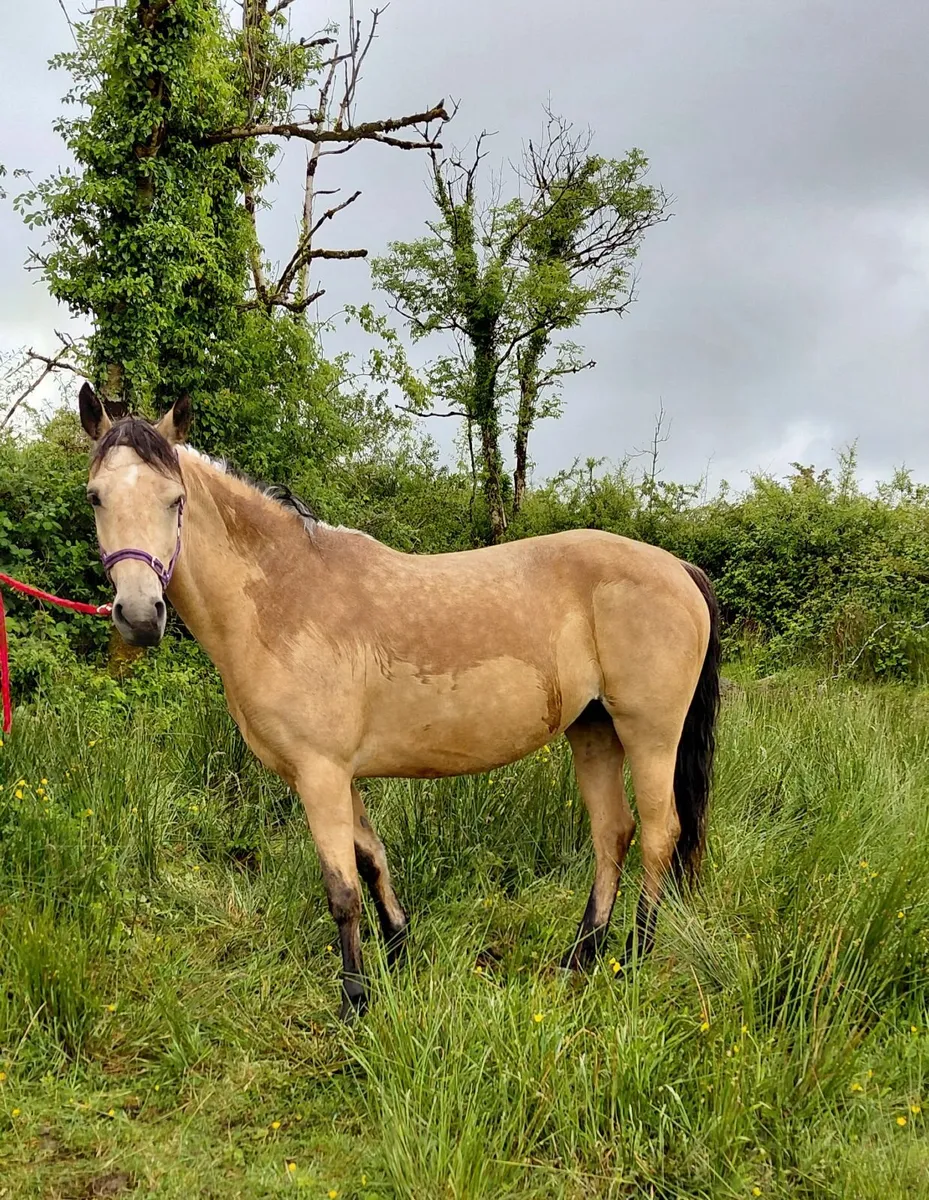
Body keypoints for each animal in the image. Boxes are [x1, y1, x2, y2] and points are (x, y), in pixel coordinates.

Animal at [77, 383, 721, 1020]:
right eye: (96, 497)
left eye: (174, 499)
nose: (140, 615)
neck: (285, 595)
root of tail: (678, 568)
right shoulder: (340, 776)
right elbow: (371, 859)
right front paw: (399, 953)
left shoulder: (320, 774)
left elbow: (342, 890)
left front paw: (355, 1000)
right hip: (593, 730)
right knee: (613, 833)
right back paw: (582, 955)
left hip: (649, 734)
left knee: (659, 833)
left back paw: (633, 956)